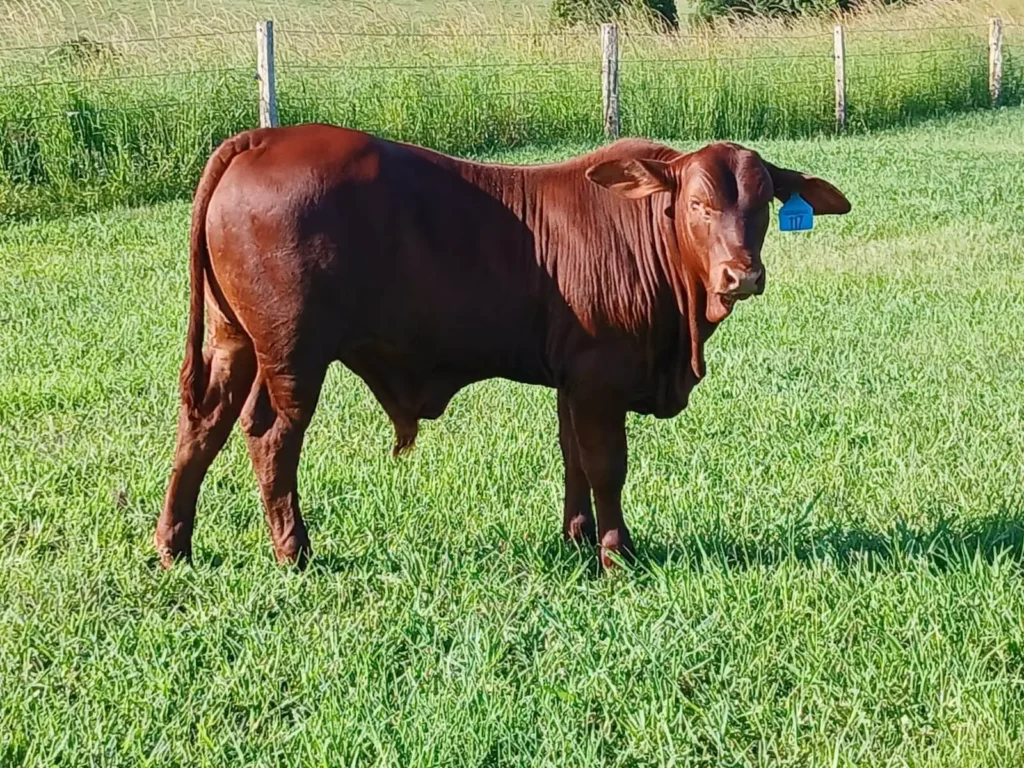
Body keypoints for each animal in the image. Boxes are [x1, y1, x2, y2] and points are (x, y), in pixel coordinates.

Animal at [154, 124, 850, 570]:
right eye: (701, 204)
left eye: (761, 205)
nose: (742, 275)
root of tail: (262, 139)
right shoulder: (600, 378)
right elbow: (606, 466)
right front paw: (617, 553)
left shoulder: (573, 381)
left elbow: (573, 459)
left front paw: (576, 540)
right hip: (294, 355)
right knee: (270, 437)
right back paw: (293, 550)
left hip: (234, 340)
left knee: (203, 427)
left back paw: (175, 545)